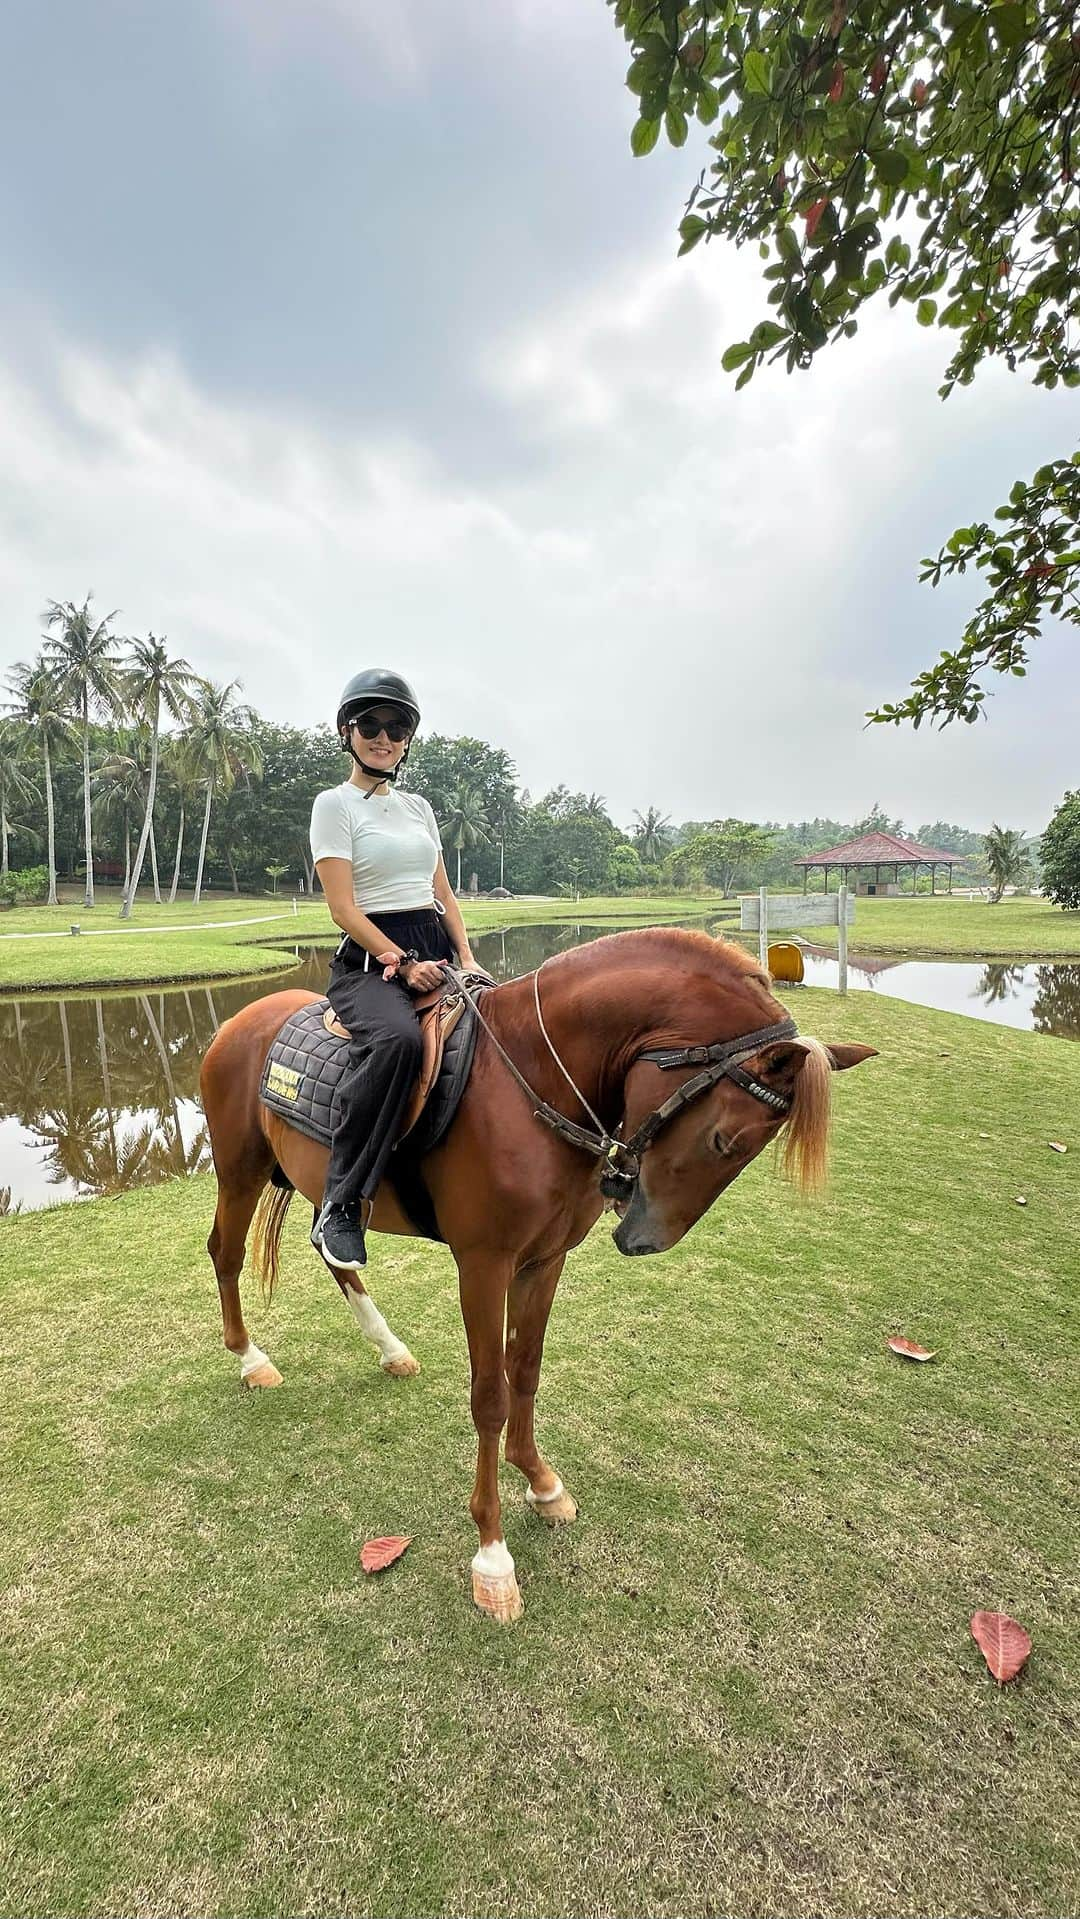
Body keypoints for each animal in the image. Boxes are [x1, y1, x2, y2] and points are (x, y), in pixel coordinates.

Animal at [200, 928, 878, 1619]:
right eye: (725, 1141)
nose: (644, 1240)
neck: (529, 1082)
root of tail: (242, 1020)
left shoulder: (544, 1261)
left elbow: (524, 1372)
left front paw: (543, 1485)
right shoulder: (483, 1266)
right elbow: (490, 1396)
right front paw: (493, 1556)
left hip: (323, 1184)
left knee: (331, 1251)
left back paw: (389, 1348)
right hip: (240, 1171)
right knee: (224, 1253)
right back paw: (250, 1360)